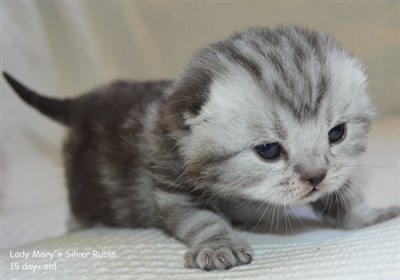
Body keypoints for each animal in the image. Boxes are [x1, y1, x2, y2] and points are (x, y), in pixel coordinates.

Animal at [3, 26, 400, 272]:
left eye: (337, 133)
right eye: (269, 151)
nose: (315, 177)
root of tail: (86, 100)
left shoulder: (334, 175)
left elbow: (343, 195)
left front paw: (369, 215)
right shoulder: (173, 189)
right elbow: (203, 220)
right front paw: (219, 245)